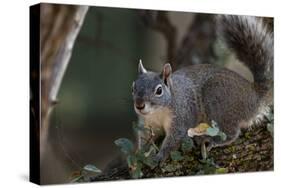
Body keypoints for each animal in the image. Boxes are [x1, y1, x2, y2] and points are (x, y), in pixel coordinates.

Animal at [131, 15, 272, 163]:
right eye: (133, 87)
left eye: (159, 90)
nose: (139, 105)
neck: (158, 111)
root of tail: (255, 96)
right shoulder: (150, 124)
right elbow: (147, 139)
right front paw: (140, 154)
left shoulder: (182, 117)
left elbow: (174, 139)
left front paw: (159, 156)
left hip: (217, 101)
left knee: (231, 133)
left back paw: (211, 140)